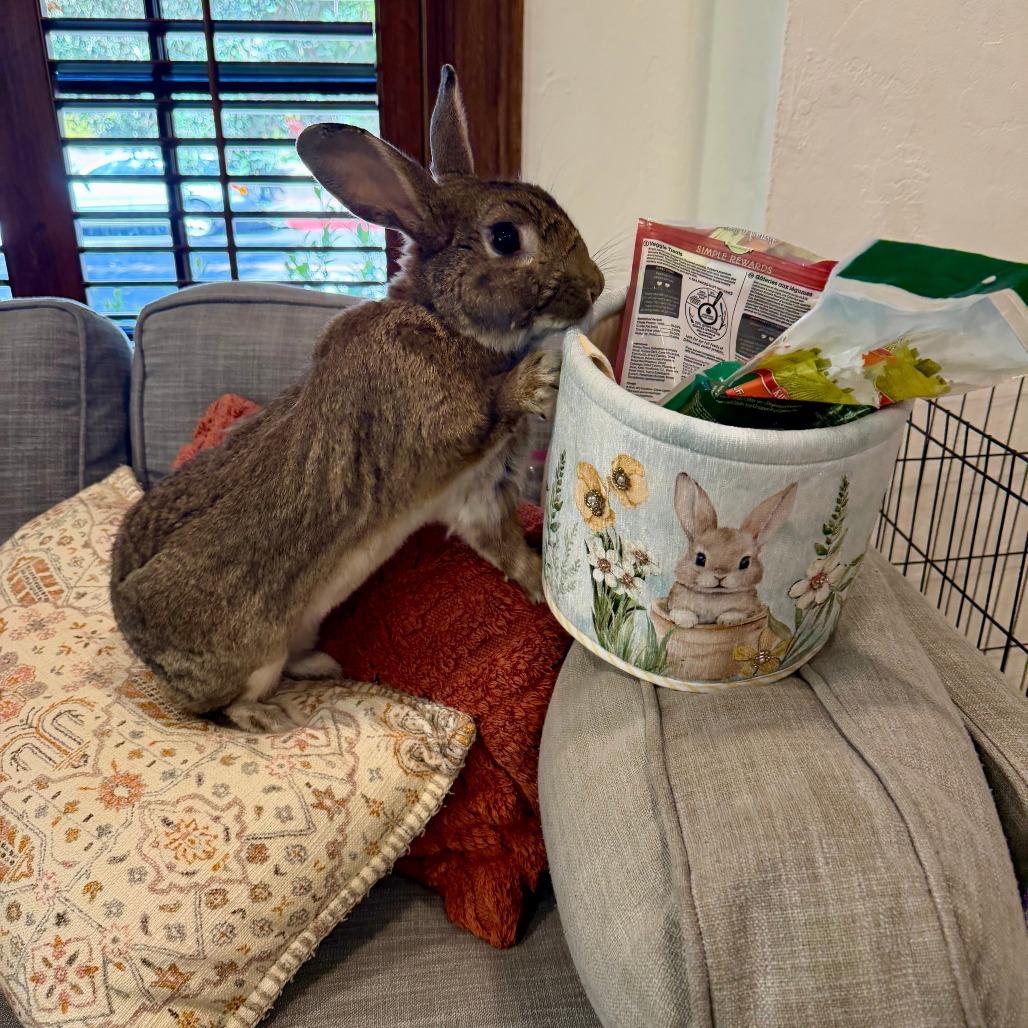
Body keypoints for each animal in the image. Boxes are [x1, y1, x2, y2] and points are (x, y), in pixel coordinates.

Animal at [109, 65, 604, 715]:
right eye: (505, 237)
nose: (596, 287)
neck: (444, 320)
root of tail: (136, 644)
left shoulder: (475, 493)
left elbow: (502, 544)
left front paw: (537, 581)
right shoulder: (451, 439)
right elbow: (488, 424)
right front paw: (541, 373)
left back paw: (323, 663)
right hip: (248, 661)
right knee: (230, 705)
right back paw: (269, 716)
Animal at [666, 472, 797, 628]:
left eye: (745, 562)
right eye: (700, 558)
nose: (720, 576)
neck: (715, 595)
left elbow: (736, 613)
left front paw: (727, 620)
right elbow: (681, 611)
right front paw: (685, 621)